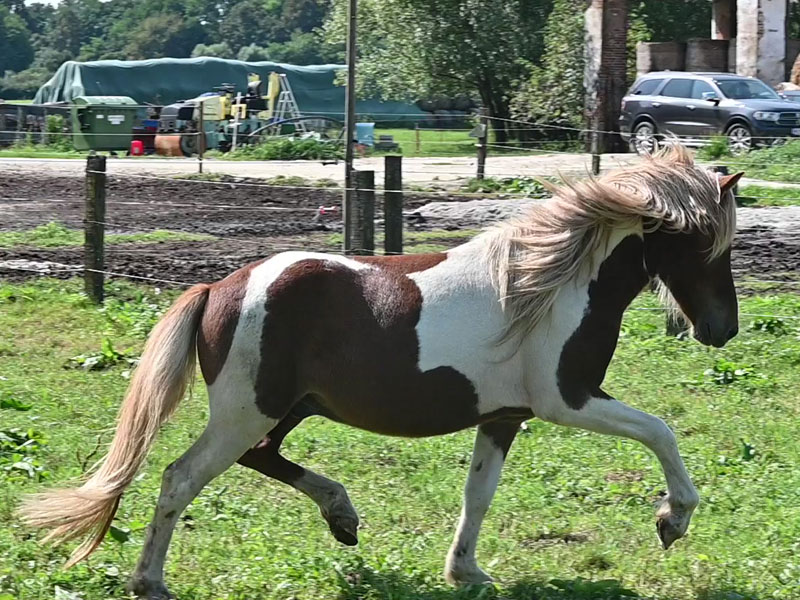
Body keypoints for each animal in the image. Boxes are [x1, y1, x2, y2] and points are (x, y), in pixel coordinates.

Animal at [21, 146, 742, 599]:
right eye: (707, 245)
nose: (722, 329)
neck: (549, 288)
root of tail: (218, 286)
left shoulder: (505, 416)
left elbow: (477, 495)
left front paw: (466, 572)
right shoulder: (568, 398)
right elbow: (660, 431)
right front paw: (673, 519)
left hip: (286, 407)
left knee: (263, 457)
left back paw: (343, 517)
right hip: (245, 410)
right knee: (180, 477)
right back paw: (151, 581)